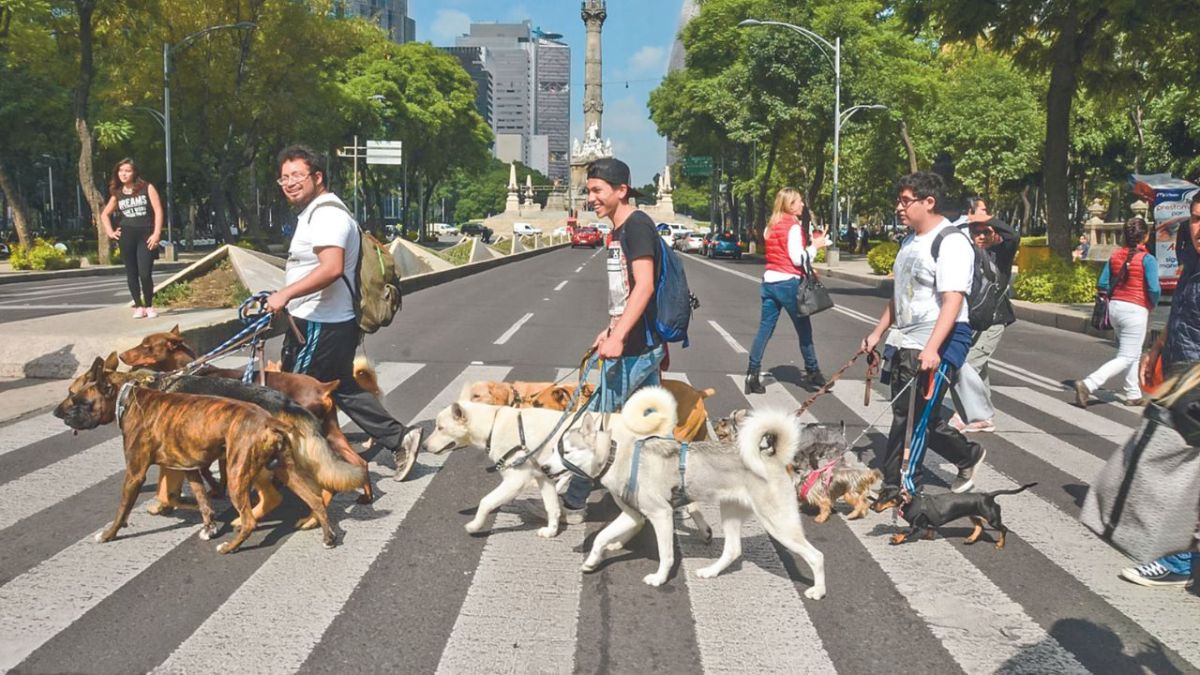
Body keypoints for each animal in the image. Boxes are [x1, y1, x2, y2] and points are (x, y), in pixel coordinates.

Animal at [54, 355, 338, 550]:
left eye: (75, 397)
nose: (58, 414)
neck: (131, 393)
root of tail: (285, 405)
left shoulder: (137, 472)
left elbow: (138, 502)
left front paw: (112, 532)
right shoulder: (185, 464)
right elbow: (194, 494)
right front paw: (205, 516)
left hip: (247, 469)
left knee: (274, 498)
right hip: (282, 465)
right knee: (315, 492)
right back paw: (316, 524)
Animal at [119, 324, 369, 506]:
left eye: (146, 346)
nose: (121, 355)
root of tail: (323, 387)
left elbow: (205, 471)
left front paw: (216, 489)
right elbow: (218, 471)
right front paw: (221, 489)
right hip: (330, 433)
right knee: (359, 463)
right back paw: (366, 496)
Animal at [868, 480, 1036, 542]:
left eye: (886, 497)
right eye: (879, 495)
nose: (871, 507)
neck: (909, 502)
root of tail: (988, 495)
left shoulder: (917, 525)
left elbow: (905, 531)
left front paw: (896, 538)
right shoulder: (926, 524)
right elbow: (930, 529)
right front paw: (929, 537)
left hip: (992, 519)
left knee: (1003, 529)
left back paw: (1000, 544)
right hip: (974, 515)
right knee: (979, 527)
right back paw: (970, 539)